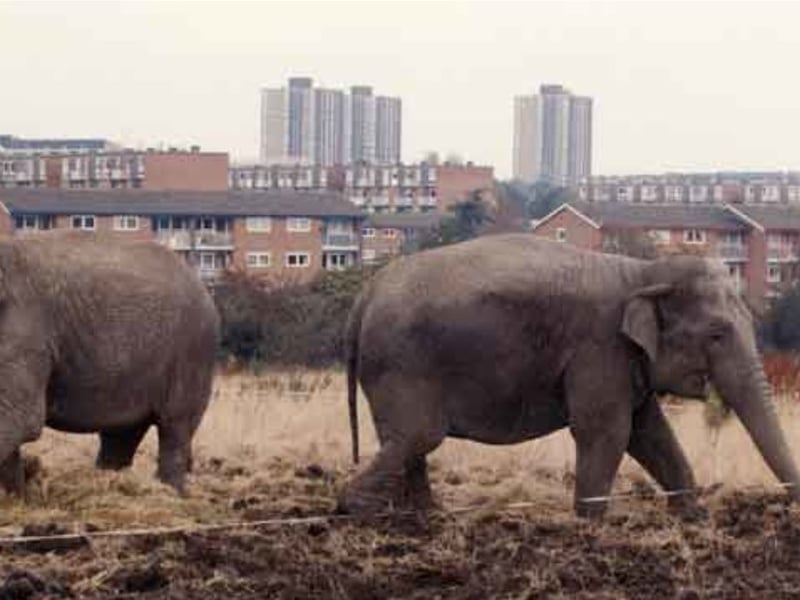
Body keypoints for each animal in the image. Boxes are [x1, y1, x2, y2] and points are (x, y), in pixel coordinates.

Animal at [0, 230, 219, 495]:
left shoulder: (27, 332)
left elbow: (21, 417)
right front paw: (17, 497)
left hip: (190, 354)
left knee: (175, 428)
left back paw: (172, 494)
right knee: (120, 436)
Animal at [339, 234, 800, 517]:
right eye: (717, 335)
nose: (789, 510)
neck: (645, 272)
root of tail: (365, 294)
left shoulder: (625, 360)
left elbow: (650, 433)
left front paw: (693, 517)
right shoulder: (599, 348)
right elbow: (608, 431)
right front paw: (590, 524)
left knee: (409, 442)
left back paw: (426, 516)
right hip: (403, 364)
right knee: (418, 436)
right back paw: (353, 510)